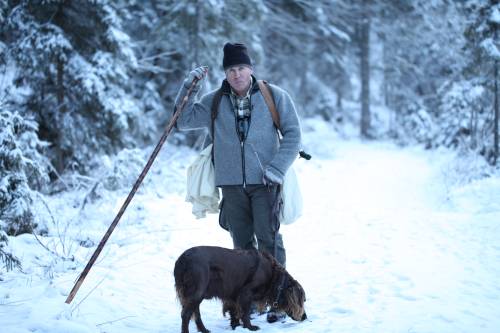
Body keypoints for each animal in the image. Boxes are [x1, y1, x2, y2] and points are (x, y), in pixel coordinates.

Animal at [176, 245, 308, 330]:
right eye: (303, 301)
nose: (305, 317)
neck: (273, 275)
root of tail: (182, 260)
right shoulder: (245, 292)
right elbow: (245, 313)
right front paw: (250, 327)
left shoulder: (232, 295)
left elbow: (234, 312)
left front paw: (236, 325)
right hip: (197, 292)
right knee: (185, 315)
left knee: (196, 314)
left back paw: (204, 330)